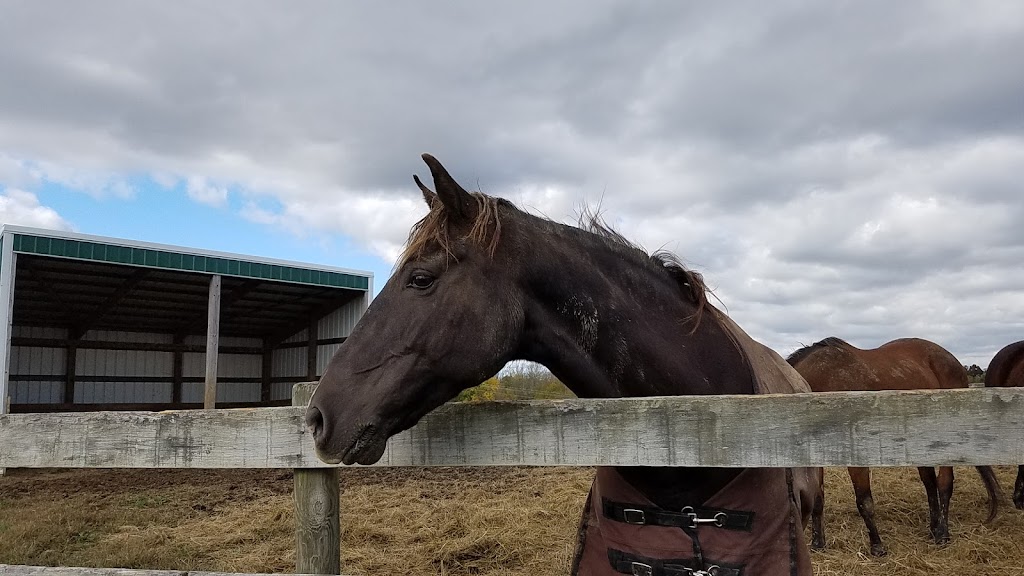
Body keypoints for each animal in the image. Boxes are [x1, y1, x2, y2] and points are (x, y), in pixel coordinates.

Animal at [782, 334, 999, 553]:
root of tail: (953, 361)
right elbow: (818, 499)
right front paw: (818, 543)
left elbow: (864, 500)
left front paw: (877, 545)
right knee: (930, 483)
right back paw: (934, 527)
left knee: (944, 483)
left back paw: (942, 533)